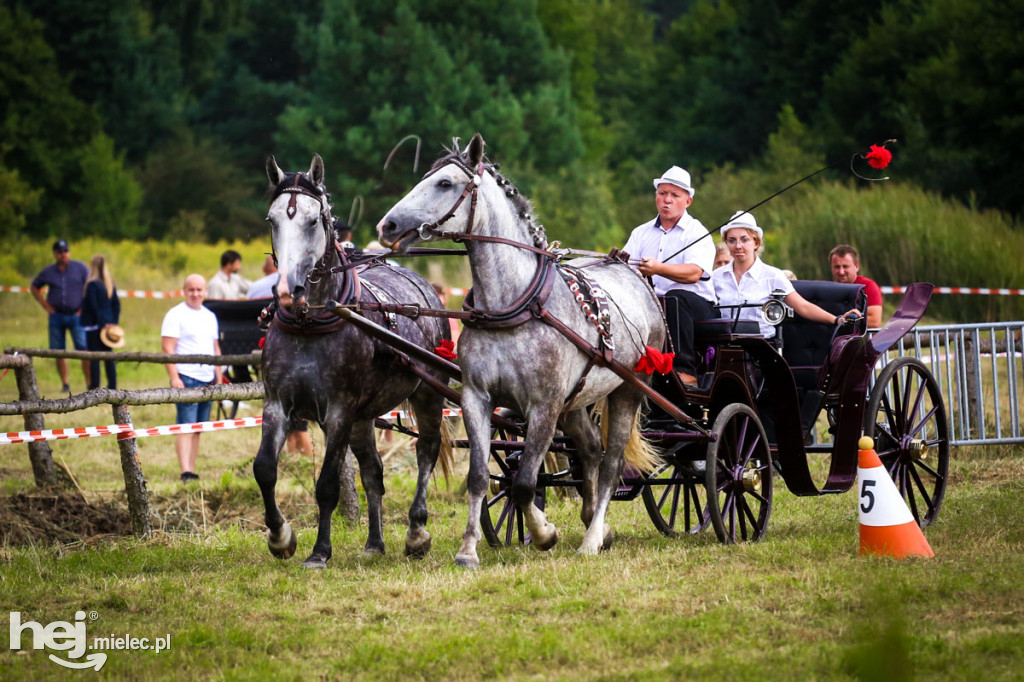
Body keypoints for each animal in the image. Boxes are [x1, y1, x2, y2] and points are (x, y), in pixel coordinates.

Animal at [253, 153, 450, 569]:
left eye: (313, 220)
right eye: (272, 220)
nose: (287, 288)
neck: (308, 323)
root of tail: (426, 288)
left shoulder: (339, 410)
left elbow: (328, 484)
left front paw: (319, 551)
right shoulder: (278, 403)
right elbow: (264, 469)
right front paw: (280, 537)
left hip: (427, 394)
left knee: (426, 452)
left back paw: (417, 531)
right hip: (363, 417)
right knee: (373, 472)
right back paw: (374, 543)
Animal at [380, 133, 667, 569]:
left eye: (445, 183)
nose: (388, 225)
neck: (513, 304)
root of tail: (632, 272)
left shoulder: (544, 406)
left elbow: (525, 482)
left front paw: (544, 532)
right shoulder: (477, 398)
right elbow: (481, 476)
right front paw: (468, 550)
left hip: (630, 388)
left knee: (612, 461)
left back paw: (591, 538)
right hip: (576, 401)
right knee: (591, 451)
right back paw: (595, 524)